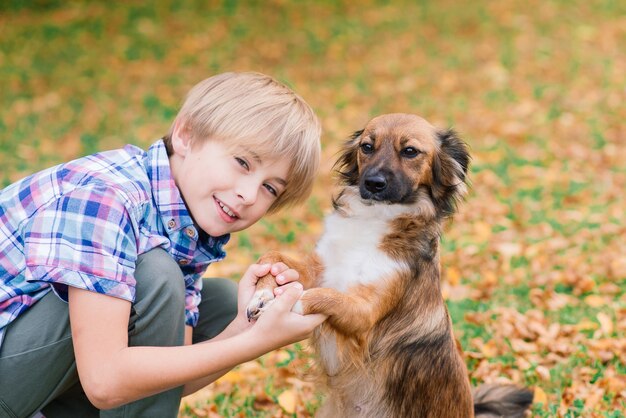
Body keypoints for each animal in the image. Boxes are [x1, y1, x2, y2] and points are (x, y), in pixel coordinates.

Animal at [244, 114, 532, 418]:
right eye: (367, 147)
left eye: (410, 151)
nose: (373, 183)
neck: (375, 218)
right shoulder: (320, 269)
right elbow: (272, 256)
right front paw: (262, 294)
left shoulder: (364, 313)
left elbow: (324, 296)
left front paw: (286, 304)